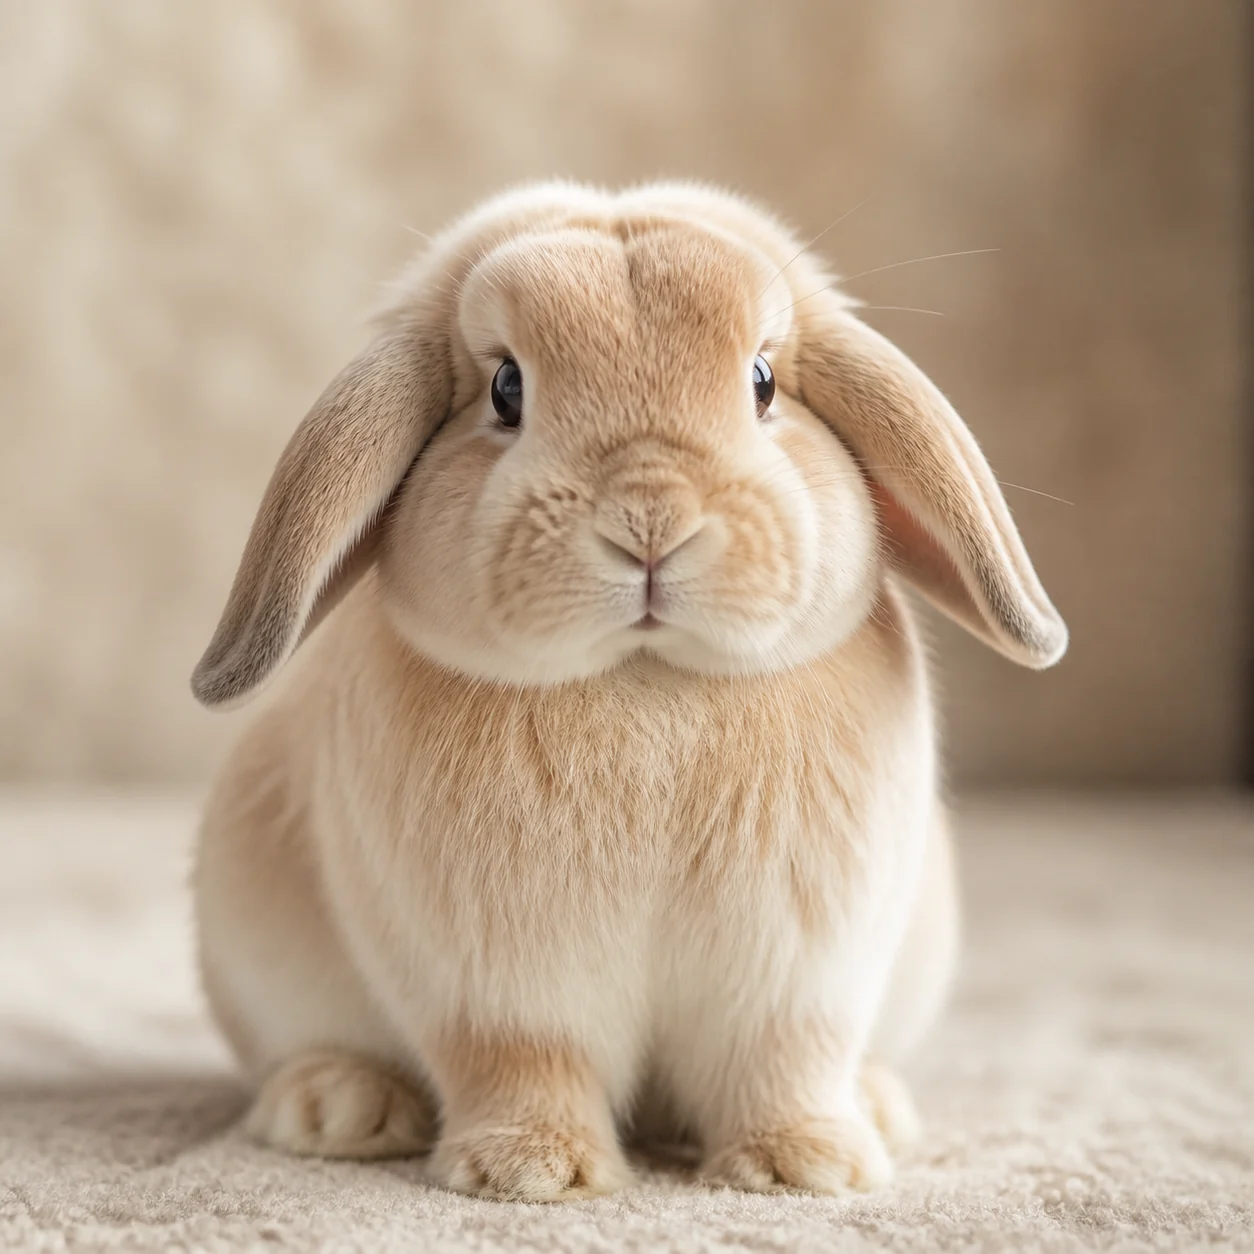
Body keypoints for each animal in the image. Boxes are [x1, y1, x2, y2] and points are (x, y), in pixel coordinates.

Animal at [191, 180, 1066, 1201]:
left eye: (763, 383)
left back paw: (878, 1109)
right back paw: (339, 1108)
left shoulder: (798, 976)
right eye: (507, 389)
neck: (646, 684)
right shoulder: (497, 986)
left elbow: (784, 1060)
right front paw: (533, 1172)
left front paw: (804, 1167)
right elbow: (524, 1063)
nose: (652, 519)